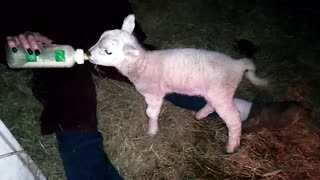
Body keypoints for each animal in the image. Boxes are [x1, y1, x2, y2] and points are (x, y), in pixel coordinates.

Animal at [88, 14, 268, 153]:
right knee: (212, 105)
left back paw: (232, 146)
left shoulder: (154, 94)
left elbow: (150, 113)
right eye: (99, 38)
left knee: (234, 118)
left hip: (222, 92)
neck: (142, 64)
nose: (88, 53)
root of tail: (238, 64)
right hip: (216, 93)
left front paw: (152, 131)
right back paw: (200, 115)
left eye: (108, 52)